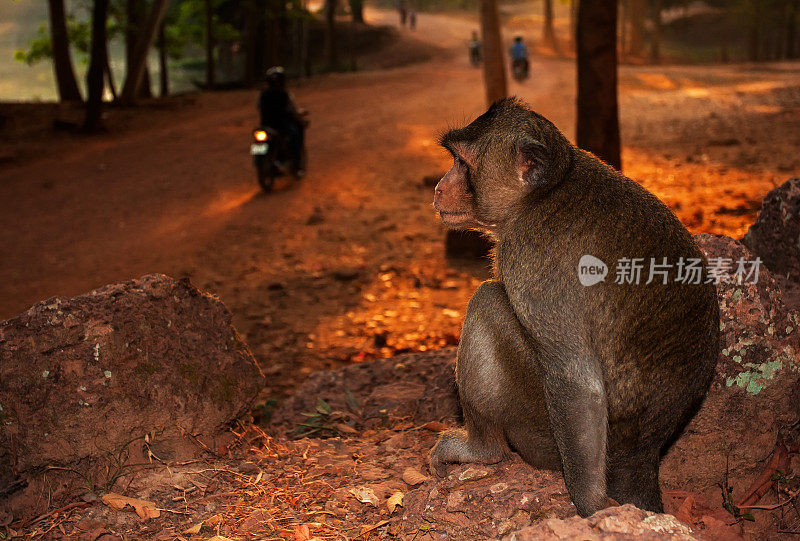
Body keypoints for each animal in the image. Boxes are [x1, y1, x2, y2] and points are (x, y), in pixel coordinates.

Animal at [428, 98, 720, 520]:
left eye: (464, 165)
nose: (438, 188)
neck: (547, 191)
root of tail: (642, 456)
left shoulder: (530, 260)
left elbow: (578, 382)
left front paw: (590, 507)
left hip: (540, 427)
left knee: (487, 302)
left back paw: (483, 451)